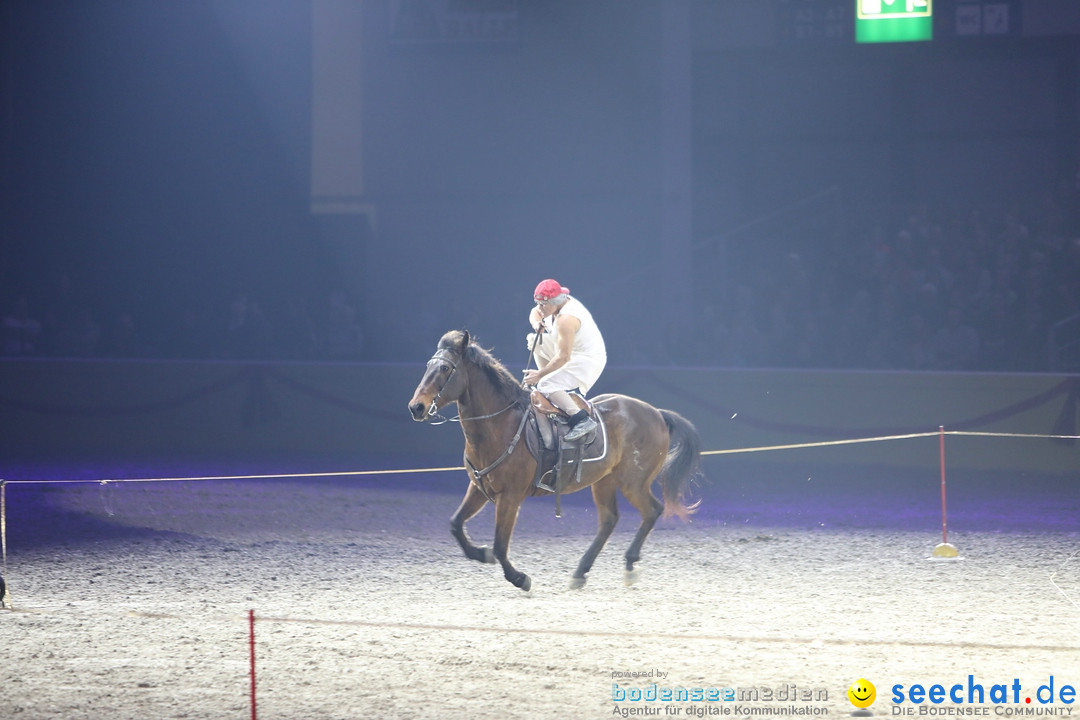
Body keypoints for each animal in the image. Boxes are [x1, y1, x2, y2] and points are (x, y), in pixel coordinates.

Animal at [406, 330, 699, 591]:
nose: (416, 407)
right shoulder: (479, 488)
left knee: (652, 510)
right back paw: (581, 572)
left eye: (445, 368)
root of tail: (656, 413)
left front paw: (519, 578)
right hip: (604, 480)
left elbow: (500, 546)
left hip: (633, 482)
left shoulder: (510, 496)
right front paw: (481, 553)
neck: (500, 424)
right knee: (609, 520)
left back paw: (628, 565)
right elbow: (456, 525)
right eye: (428, 366)